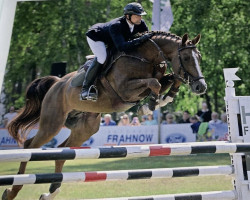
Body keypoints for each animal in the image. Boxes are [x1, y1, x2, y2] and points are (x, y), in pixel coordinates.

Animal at [2, 31, 207, 200]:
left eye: (199, 57)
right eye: (186, 57)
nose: (201, 87)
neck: (145, 57)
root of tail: (56, 83)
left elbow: (170, 79)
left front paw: (164, 99)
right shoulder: (125, 90)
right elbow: (154, 83)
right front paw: (149, 106)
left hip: (85, 128)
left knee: (62, 151)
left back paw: (51, 192)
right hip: (52, 123)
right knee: (30, 146)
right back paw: (12, 191)